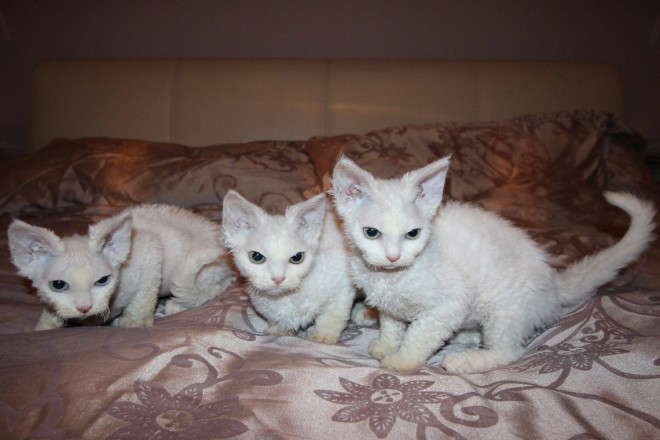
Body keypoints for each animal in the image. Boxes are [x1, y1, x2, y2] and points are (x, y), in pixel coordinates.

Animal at [222, 191, 356, 346]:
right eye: (256, 257)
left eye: (297, 257)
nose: (278, 278)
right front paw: (279, 330)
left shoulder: (342, 287)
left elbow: (332, 315)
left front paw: (324, 335)